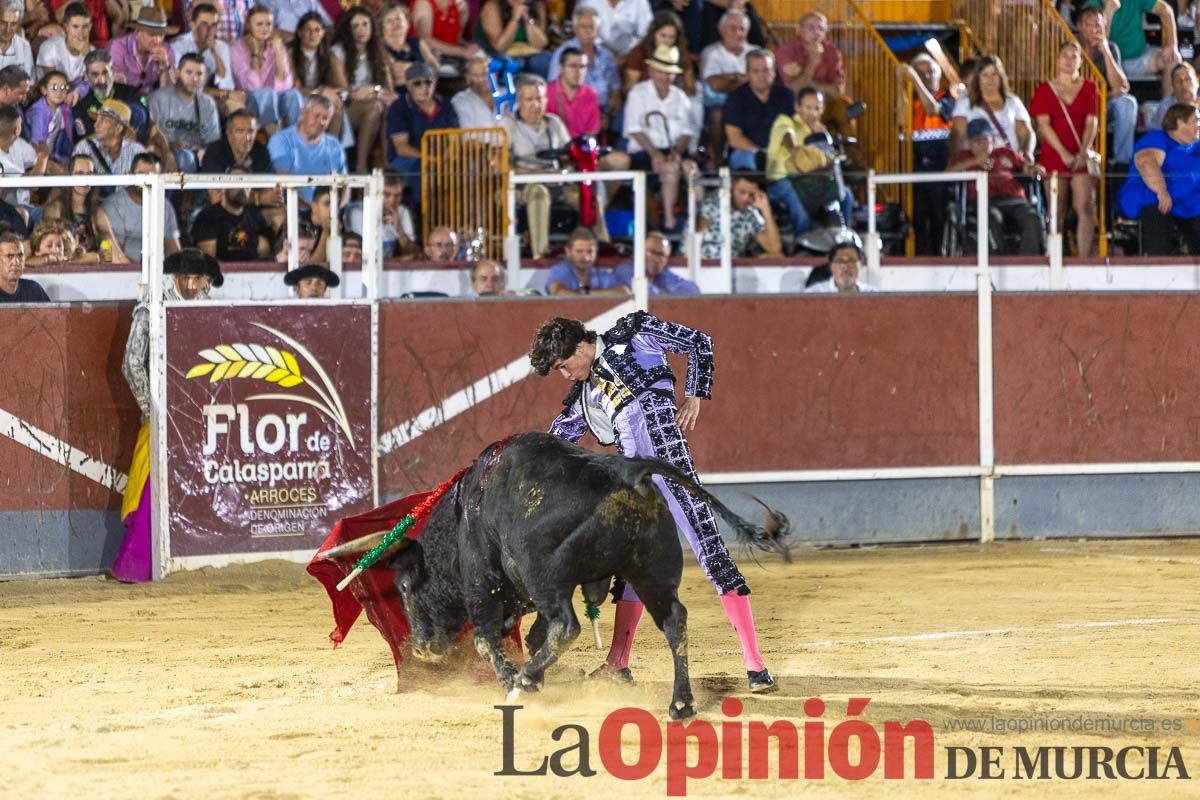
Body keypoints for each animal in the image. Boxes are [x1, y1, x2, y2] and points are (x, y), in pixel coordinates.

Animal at [338, 434, 792, 724]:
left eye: (403, 587)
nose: (421, 648)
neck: (463, 515)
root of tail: (626, 468)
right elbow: (531, 634)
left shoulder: (483, 582)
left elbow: (488, 639)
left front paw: (515, 680)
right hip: (651, 571)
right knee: (673, 622)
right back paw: (680, 706)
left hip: (547, 577)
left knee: (568, 626)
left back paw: (525, 683)